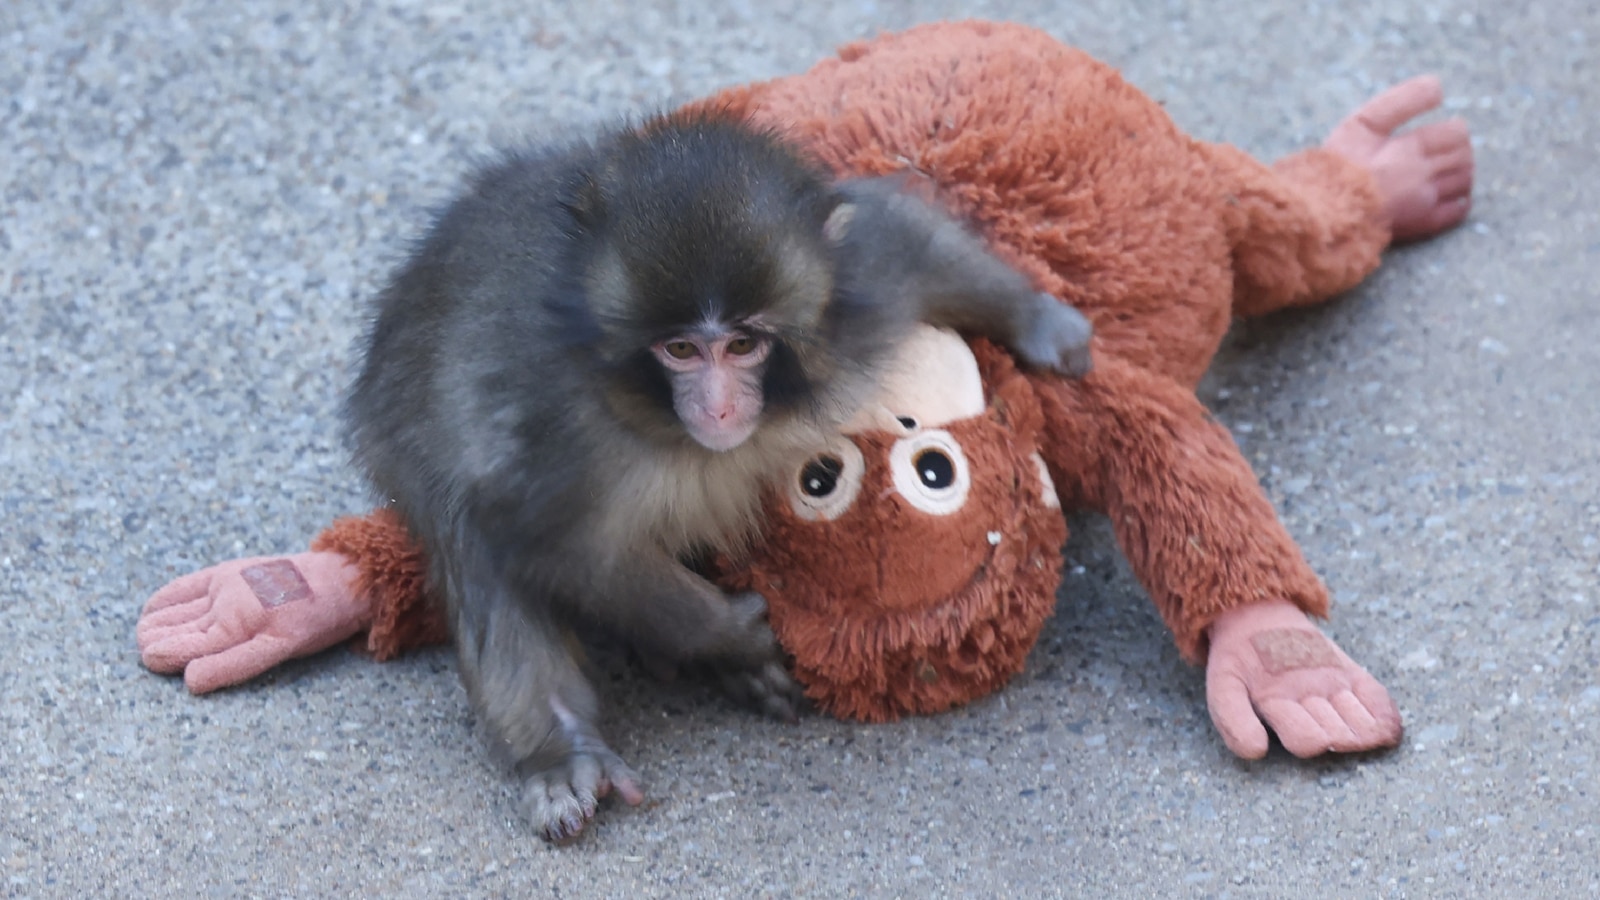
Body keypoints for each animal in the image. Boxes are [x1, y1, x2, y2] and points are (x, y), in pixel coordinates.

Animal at [344, 110, 1093, 842]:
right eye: (679, 349)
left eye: (741, 344)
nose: (720, 407)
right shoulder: (554, 432)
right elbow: (557, 544)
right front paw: (730, 634)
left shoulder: (856, 295)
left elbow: (902, 236)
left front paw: (1041, 322)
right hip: (399, 438)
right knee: (470, 537)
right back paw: (562, 750)